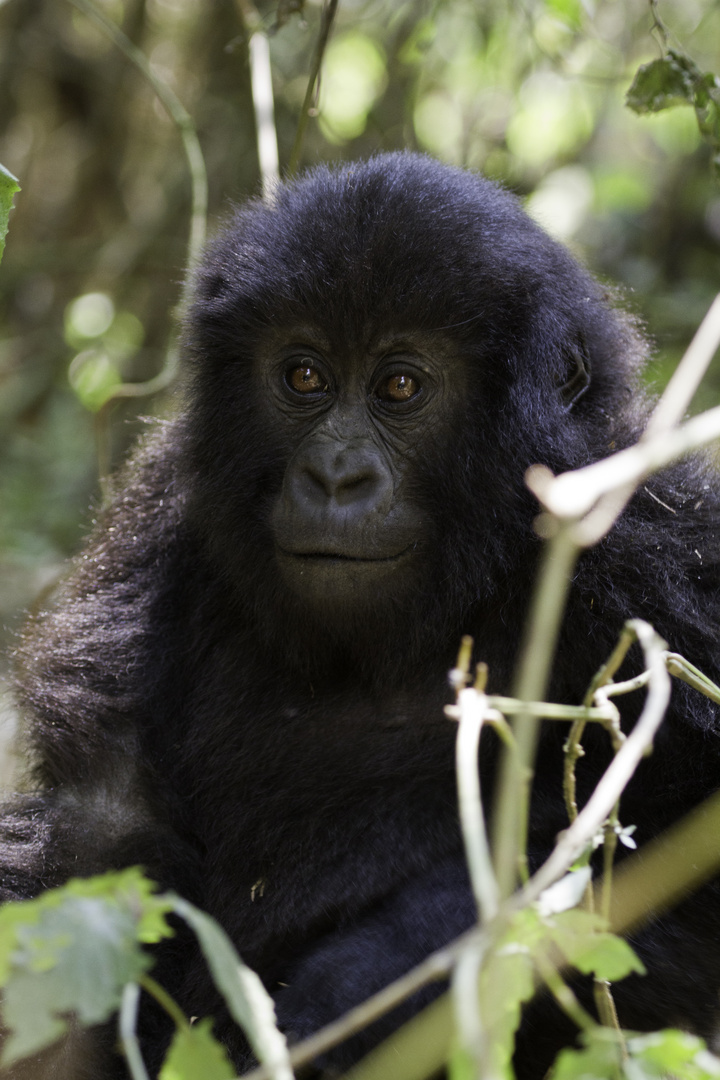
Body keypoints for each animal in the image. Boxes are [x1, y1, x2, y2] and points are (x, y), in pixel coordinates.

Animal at [4, 154, 720, 1080]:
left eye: (400, 386)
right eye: (304, 376)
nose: (335, 477)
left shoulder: (663, 544)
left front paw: (385, 980)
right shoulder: (164, 521)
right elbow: (101, 837)